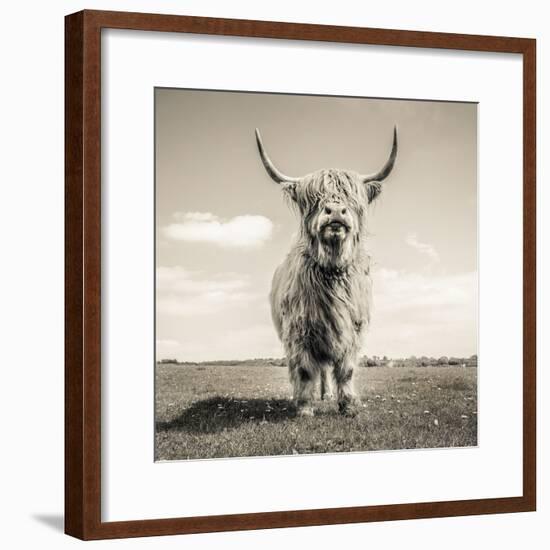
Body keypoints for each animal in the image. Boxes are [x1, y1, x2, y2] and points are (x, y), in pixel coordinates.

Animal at [256, 127, 398, 416]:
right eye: (313, 199)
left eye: (353, 199)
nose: (335, 212)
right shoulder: (299, 332)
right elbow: (304, 370)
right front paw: (304, 408)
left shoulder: (353, 330)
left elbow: (346, 370)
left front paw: (348, 406)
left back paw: (328, 394)